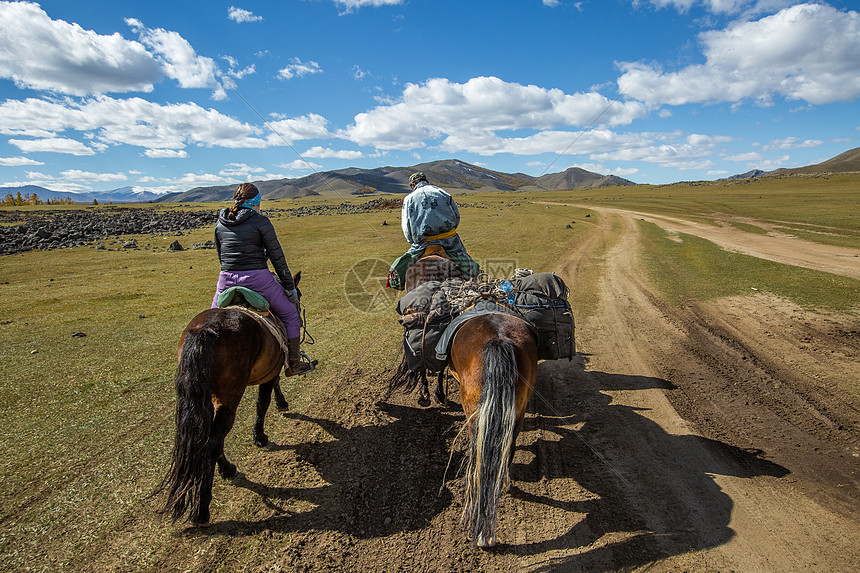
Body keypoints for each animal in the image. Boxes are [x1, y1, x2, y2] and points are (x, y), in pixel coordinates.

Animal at [156, 272, 308, 524]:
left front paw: (280, 405)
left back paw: (225, 470)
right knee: (214, 439)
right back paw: (202, 509)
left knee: (207, 435)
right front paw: (261, 436)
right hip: (229, 396)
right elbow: (263, 402)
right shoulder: (272, 368)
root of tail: (204, 332)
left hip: (210, 396)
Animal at [404, 256, 536, 544]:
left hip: (474, 410)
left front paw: (431, 395)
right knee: (507, 446)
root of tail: (499, 339)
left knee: (480, 448)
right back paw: (503, 485)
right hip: (518, 407)